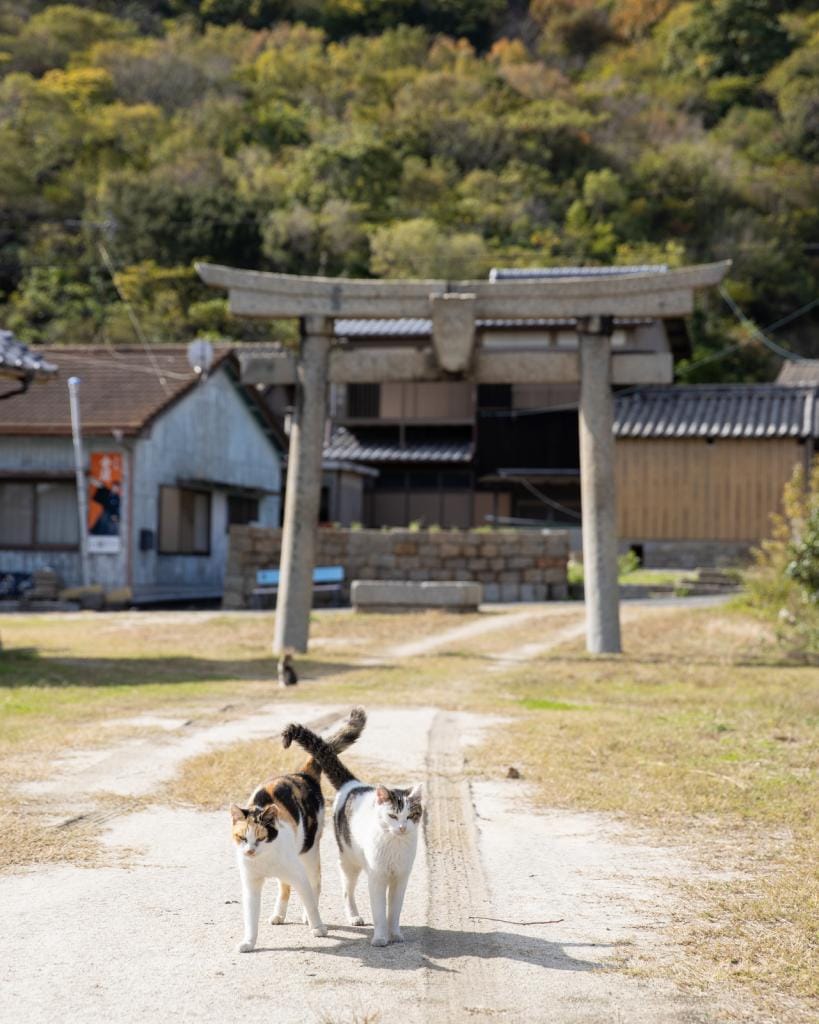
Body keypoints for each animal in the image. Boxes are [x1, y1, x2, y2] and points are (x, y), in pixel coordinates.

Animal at [228, 704, 366, 950]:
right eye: (243, 837)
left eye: (261, 837)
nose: (250, 851)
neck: (265, 859)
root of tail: (302, 773)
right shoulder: (251, 885)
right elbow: (251, 917)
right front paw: (249, 942)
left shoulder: (299, 874)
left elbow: (309, 899)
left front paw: (317, 927)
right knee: (284, 888)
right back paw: (278, 915)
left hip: (309, 852)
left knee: (314, 885)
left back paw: (305, 916)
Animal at [282, 720, 421, 942]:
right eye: (392, 816)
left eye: (410, 816)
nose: (402, 828)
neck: (395, 844)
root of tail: (353, 783)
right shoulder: (377, 877)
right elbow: (379, 910)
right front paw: (380, 938)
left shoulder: (401, 878)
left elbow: (394, 910)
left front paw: (395, 934)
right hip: (349, 862)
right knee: (347, 891)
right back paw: (354, 916)